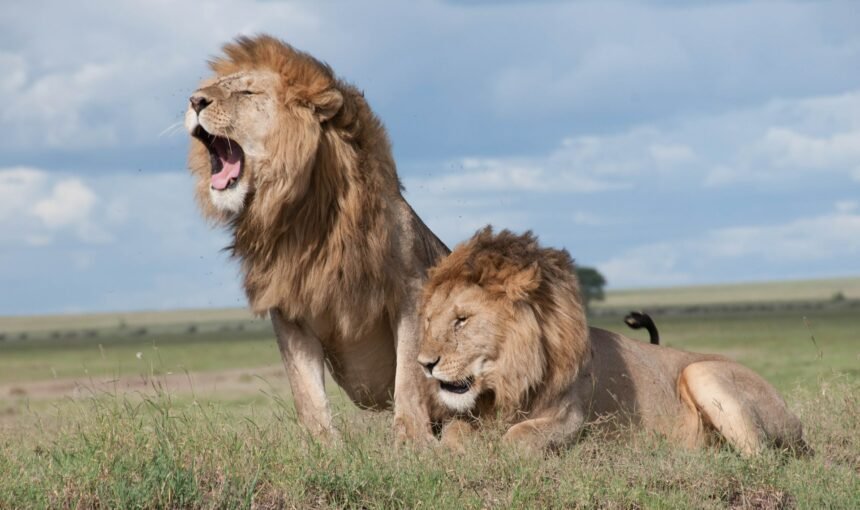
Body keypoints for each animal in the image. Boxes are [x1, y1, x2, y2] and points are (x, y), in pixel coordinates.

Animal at [185, 35, 449, 442]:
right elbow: (305, 390)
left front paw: (412, 442)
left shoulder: (411, 290)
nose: (195, 100)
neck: (302, 217)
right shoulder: (288, 307)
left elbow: (408, 376)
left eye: (246, 92)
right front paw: (323, 447)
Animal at [417, 227, 807, 455]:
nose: (424, 364)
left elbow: (518, 438)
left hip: (702, 372)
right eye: (430, 320)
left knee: (761, 457)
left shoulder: (571, 418)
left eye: (462, 320)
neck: (508, 381)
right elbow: (454, 432)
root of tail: (795, 420)